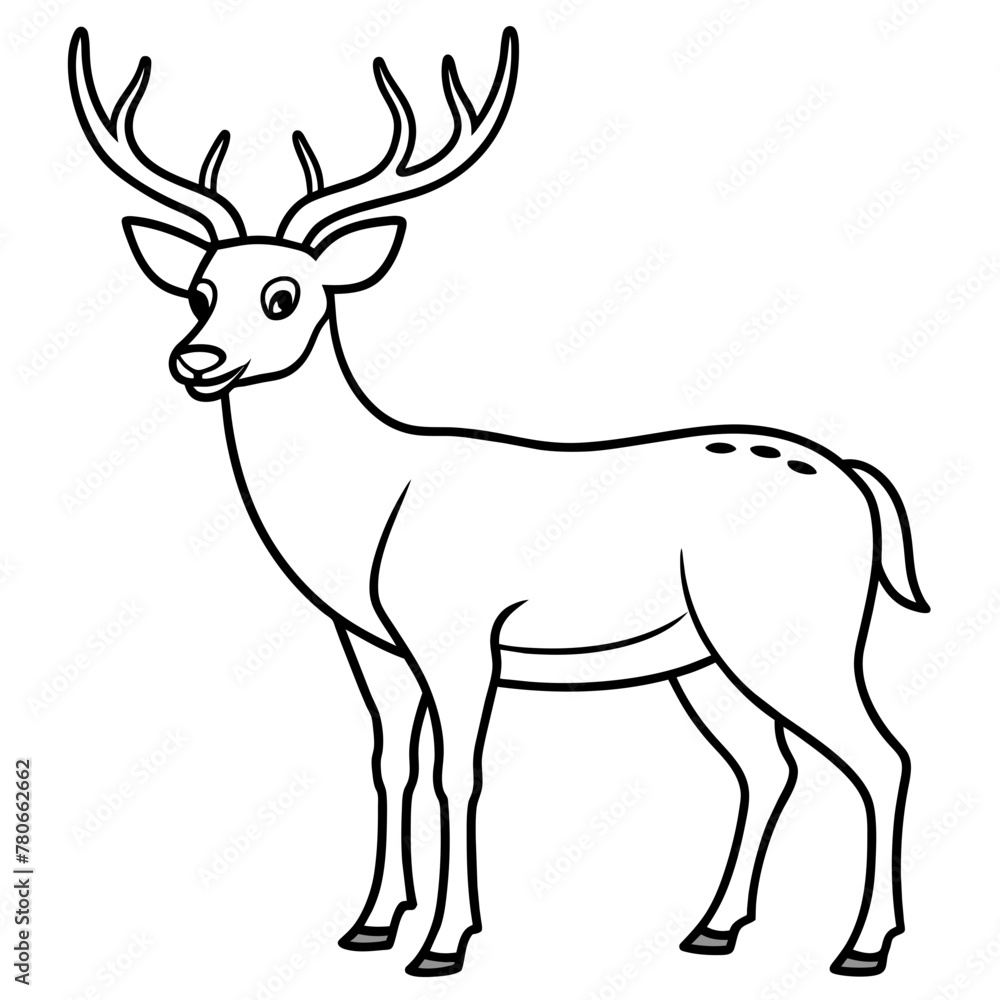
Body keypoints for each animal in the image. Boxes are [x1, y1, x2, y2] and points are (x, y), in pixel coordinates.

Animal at [70, 24, 929, 978]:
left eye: (285, 295)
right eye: (200, 290)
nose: (197, 360)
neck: (366, 510)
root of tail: (857, 480)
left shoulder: (458, 634)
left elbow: (460, 773)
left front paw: (445, 942)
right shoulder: (374, 644)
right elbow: (391, 765)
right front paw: (371, 923)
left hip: (797, 630)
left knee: (881, 756)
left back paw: (864, 946)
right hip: (705, 656)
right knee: (767, 763)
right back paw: (712, 928)